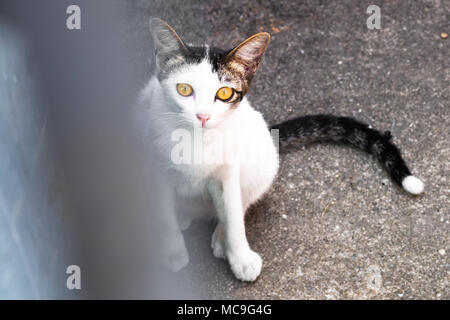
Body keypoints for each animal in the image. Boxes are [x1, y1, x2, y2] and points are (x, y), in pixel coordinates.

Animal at [135, 18, 424, 282]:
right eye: (184, 89)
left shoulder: (228, 170)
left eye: (225, 93)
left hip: (262, 157)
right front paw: (172, 252)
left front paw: (239, 256)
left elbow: (233, 212)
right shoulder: (153, 168)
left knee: (242, 201)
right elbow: (164, 217)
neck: (196, 140)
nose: (203, 116)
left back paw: (220, 236)